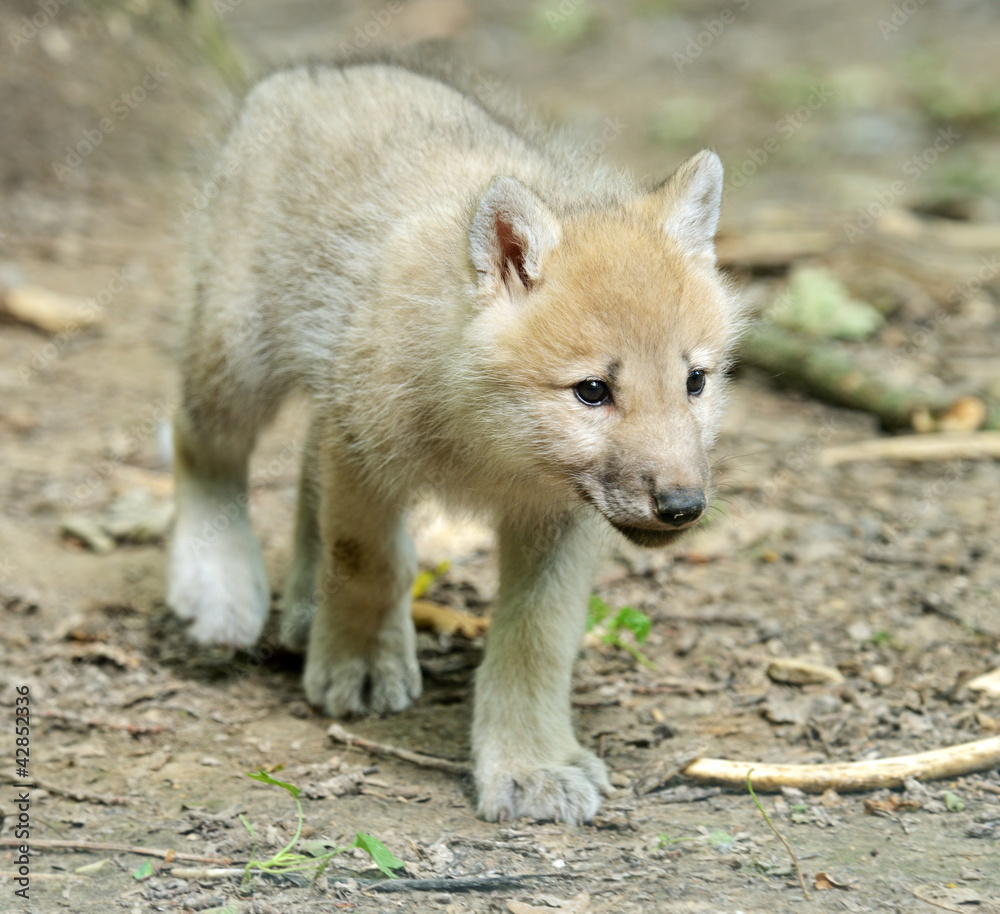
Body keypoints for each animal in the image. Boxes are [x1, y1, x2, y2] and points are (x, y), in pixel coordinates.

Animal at [167, 57, 740, 823]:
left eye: (695, 382)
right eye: (593, 391)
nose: (682, 506)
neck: (491, 449)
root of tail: (310, 73)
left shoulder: (556, 520)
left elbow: (537, 638)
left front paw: (531, 762)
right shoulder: (364, 451)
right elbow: (370, 563)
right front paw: (362, 663)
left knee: (304, 467)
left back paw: (304, 605)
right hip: (236, 357)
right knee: (199, 444)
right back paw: (219, 586)